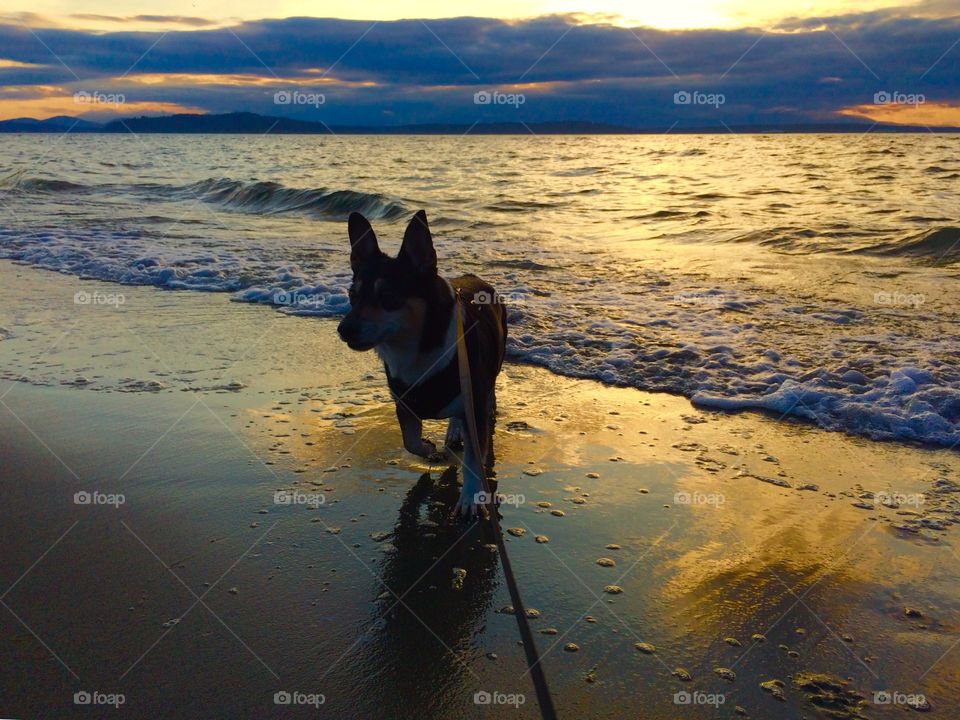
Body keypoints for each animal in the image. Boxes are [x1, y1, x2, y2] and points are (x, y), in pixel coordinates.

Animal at [336, 210, 506, 516]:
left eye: (388, 297)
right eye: (352, 296)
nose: (344, 330)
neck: (416, 345)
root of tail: (475, 278)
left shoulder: (473, 401)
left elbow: (473, 459)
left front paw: (470, 498)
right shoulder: (403, 401)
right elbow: (410, 441)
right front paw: (429, 449)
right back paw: (453, 431)